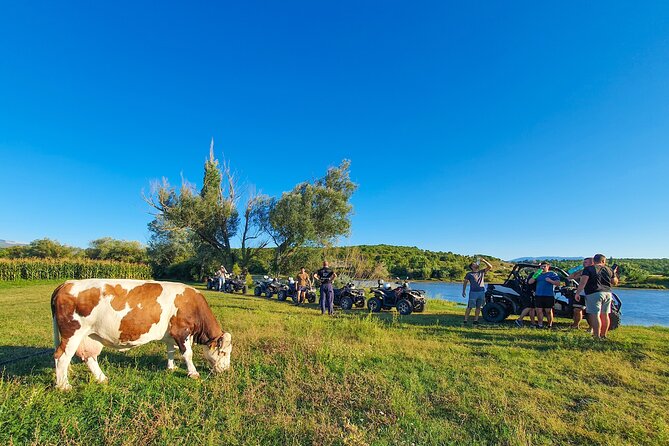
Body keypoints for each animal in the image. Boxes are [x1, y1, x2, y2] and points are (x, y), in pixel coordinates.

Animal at [51, 278, 232, 390]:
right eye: (223, 352)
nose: (226, 370)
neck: (192, 303)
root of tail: (66, 283)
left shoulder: (170, 334)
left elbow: (170, 351)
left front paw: (171, 367)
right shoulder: (182, 331)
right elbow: (188, 354)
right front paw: (193, 373)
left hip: (89, 336)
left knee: (89, 357)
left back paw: (102, 378)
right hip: (72, 333)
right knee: (62, 357)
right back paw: (64, 386)